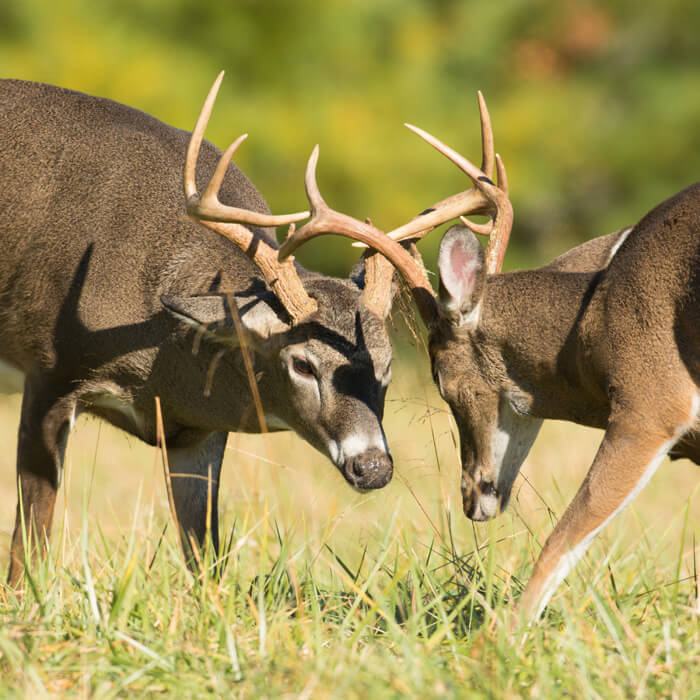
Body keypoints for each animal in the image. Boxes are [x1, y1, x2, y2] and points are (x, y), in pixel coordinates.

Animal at [0, 73, 402, 588]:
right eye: (303, 364)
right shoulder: (49, 372)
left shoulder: (199, 429)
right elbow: (29, 545)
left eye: (387, 366)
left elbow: (204, 554)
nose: (372, 467)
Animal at [278, 94, 700, 623]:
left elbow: (564, 536)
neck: (592, 320)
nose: (471, 497)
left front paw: (506, 632)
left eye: (439, 378)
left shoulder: (652, 401)